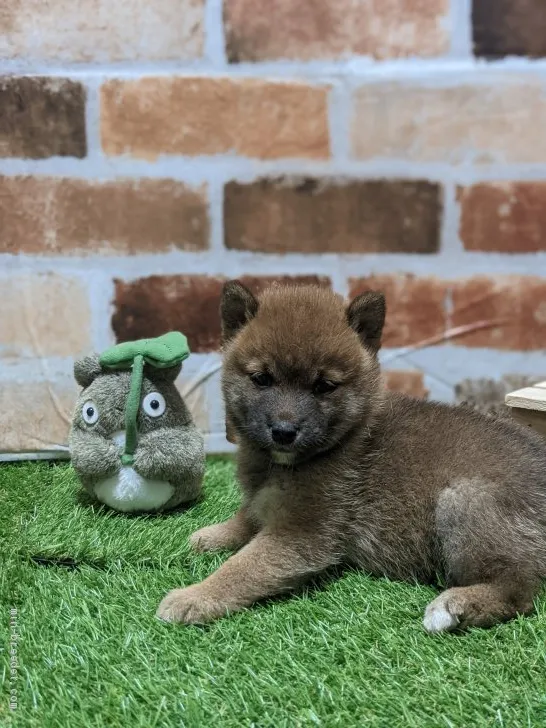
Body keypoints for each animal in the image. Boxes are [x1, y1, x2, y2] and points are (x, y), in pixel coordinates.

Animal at [157, 282, 544, 636]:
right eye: (262, 379)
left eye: (324, 386)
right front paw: (210, 536)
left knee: (518, 591)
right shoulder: (266, 505)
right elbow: (245, 519)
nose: (284, 431)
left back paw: (454, 606)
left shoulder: (302, 533)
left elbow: (243, 567)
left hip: (463, 500)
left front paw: (195, 596)